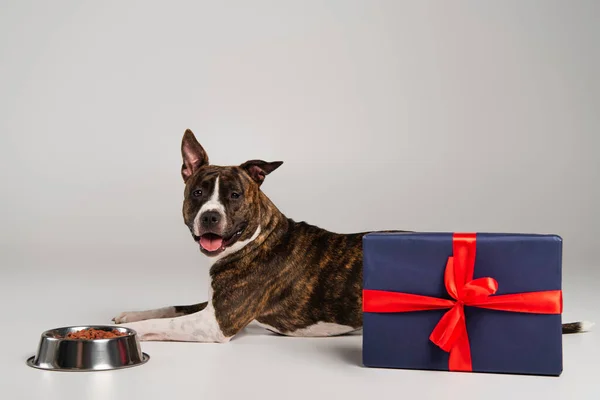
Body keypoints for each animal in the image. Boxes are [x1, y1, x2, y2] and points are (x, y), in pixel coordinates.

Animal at [113, 130, 596, 342]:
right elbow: (169, 305)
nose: (210, 217)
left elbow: (165, 323)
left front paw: (131, 330)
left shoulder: (219, 323)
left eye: (233, 194)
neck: (254, 237)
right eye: (198, 192)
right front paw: (127, 314)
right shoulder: (211, 306)